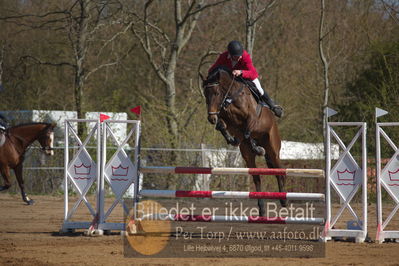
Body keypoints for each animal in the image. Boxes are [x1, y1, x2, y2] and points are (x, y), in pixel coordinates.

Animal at [203, 67, 288, 217]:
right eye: (205, 94)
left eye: (216, 93)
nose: (210, 118)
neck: (230, 97)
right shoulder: (226, 118)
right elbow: (223, 126)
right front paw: (232, 139)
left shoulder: (252, 118)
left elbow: (247, 131)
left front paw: (255, 148)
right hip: (248, 156)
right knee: (257, 177)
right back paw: (261, 208)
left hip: (273, 148)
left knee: (279, 170)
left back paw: (283, 200)